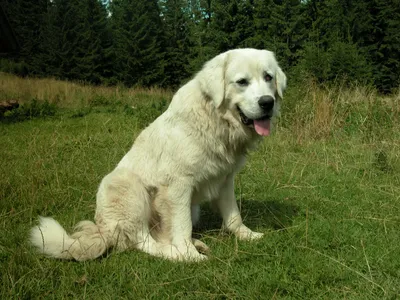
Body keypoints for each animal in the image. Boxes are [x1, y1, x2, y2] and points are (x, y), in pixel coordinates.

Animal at [31, 48, 288, 262]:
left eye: (268, 77)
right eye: (242, 82)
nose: (267, 102)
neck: (216, 121)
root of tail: (103, 229)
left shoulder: (225, 179)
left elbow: (233, 216)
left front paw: (248, 236)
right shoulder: (178, 186)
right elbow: (182, 226)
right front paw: (189, 255)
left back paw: (196, 243)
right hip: (127, 186)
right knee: (144, 242)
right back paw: (178, 253)